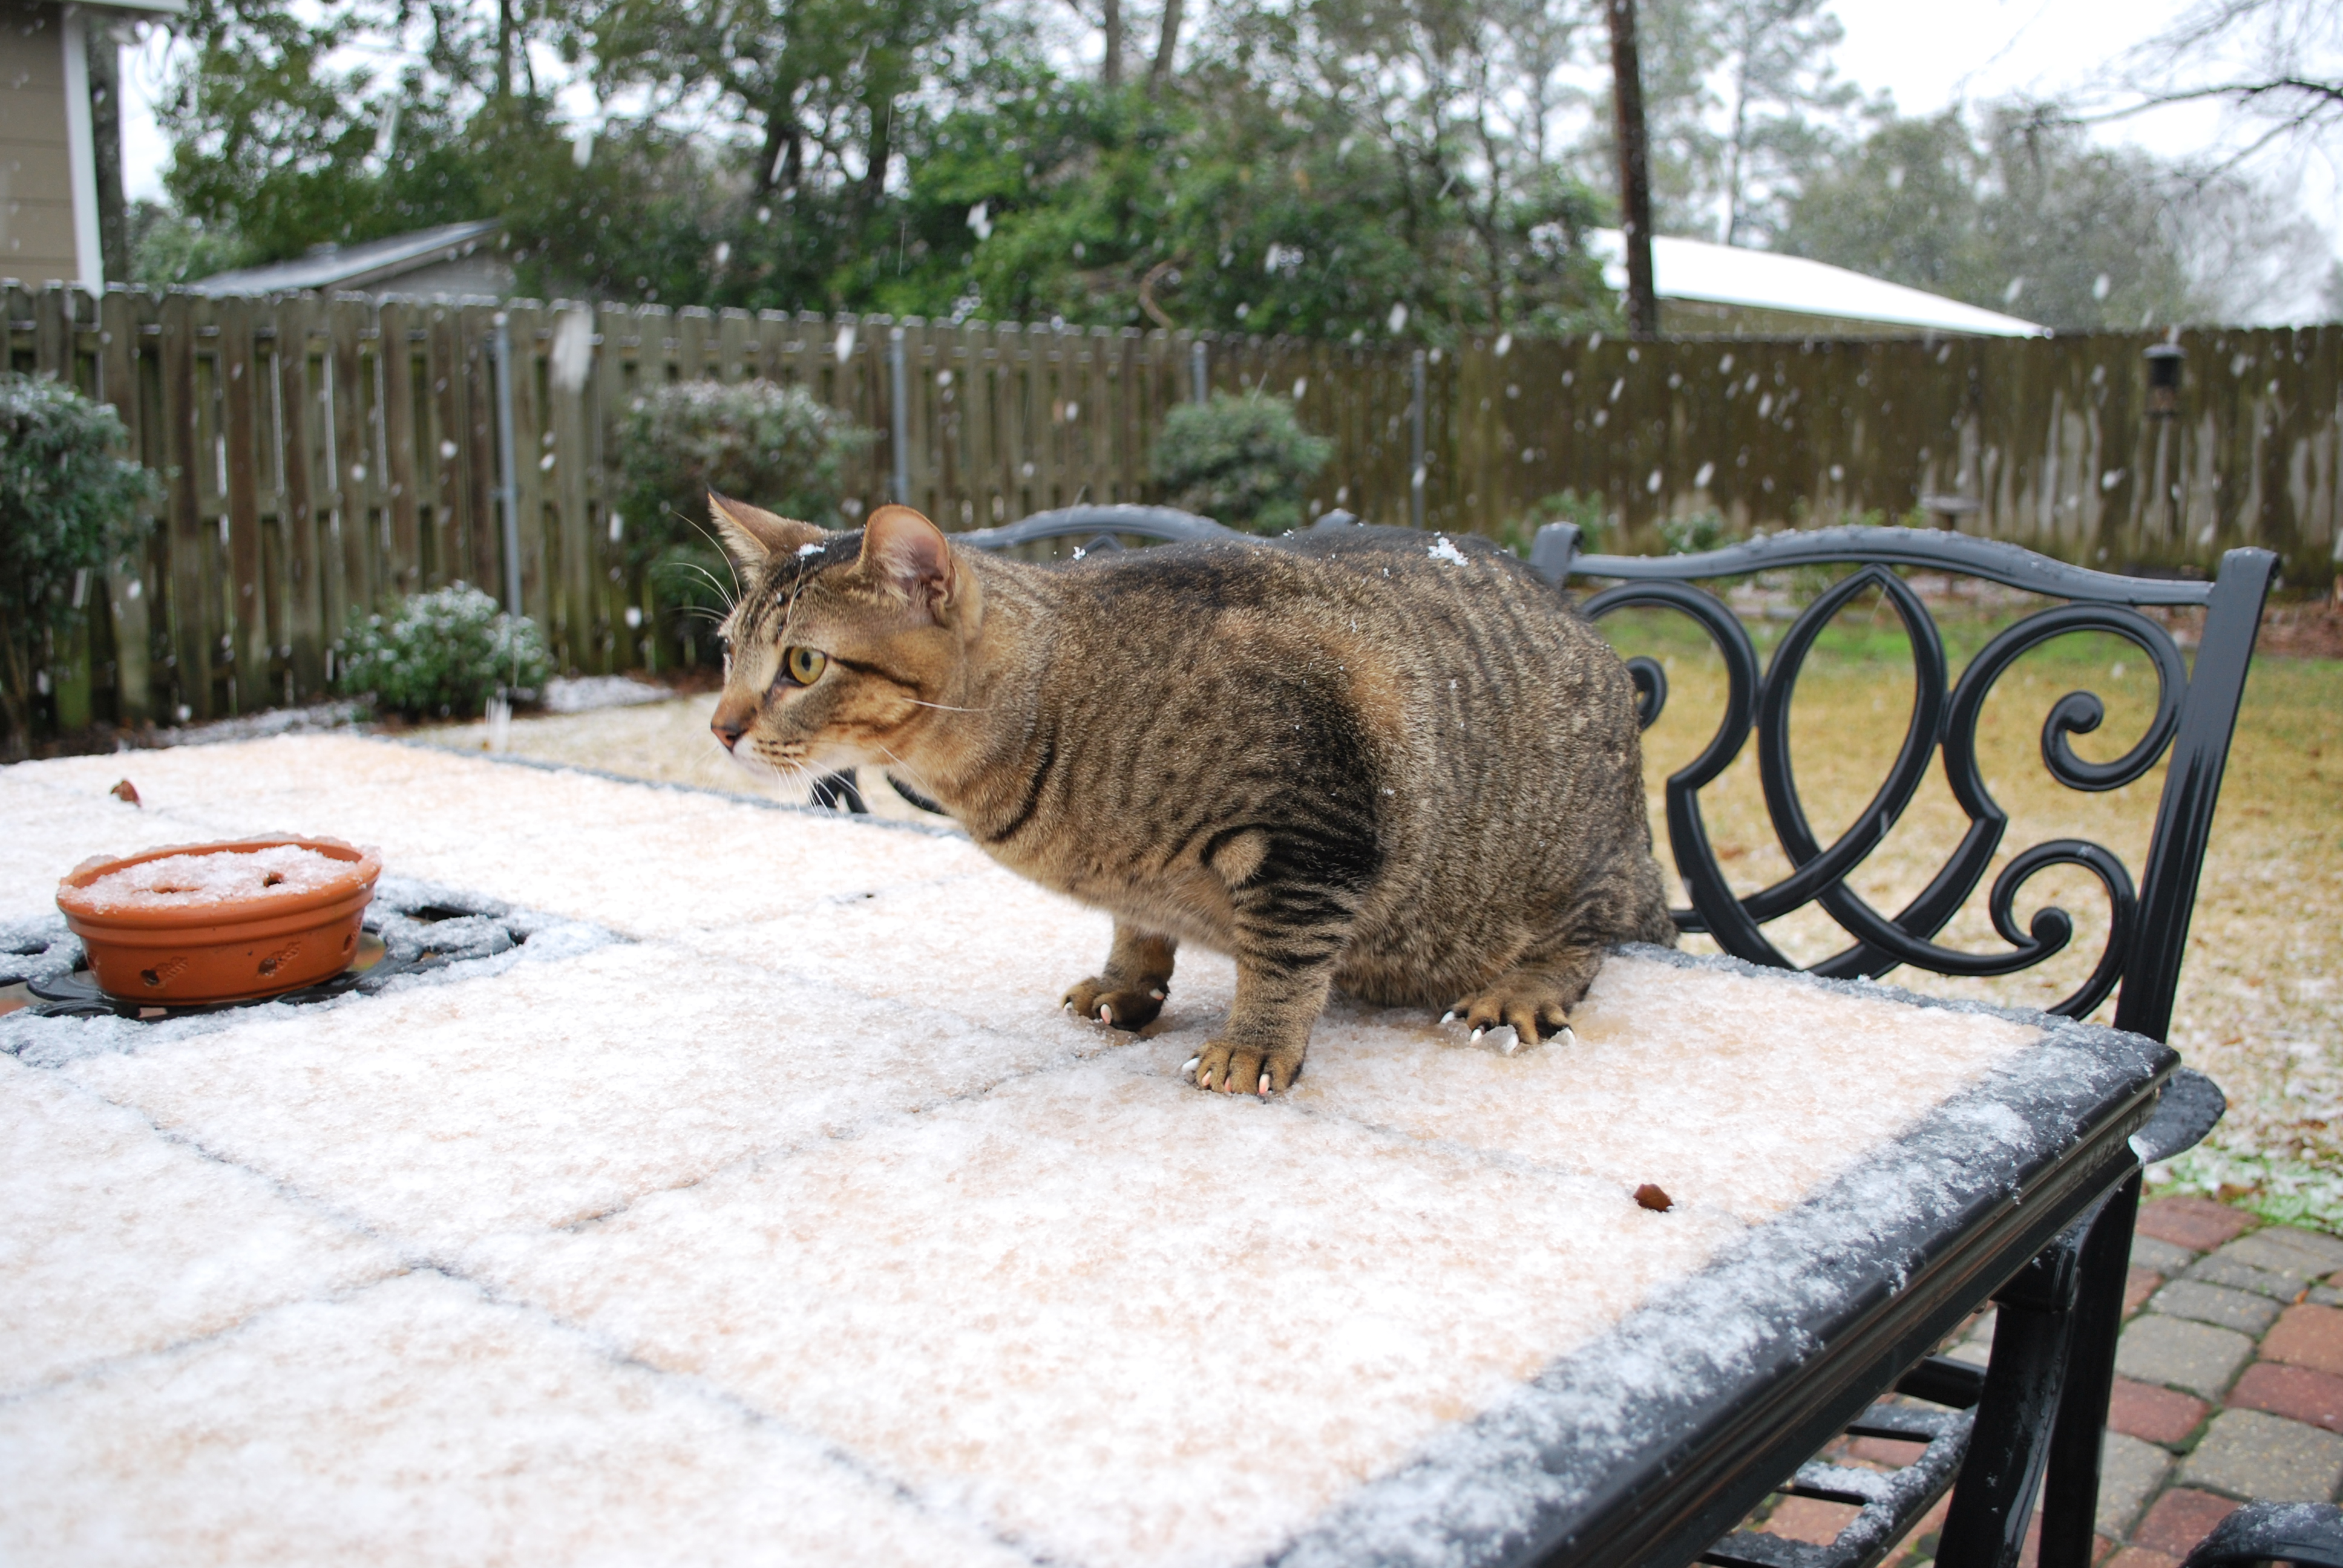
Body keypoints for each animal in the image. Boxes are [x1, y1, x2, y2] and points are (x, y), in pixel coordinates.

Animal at [707, 495, 1677, 1097]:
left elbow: (1284, 959)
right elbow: (1137, 930)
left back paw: (1520, 989)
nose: (718, 726)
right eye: (726, 651)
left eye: (803, 664)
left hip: (1569, 866)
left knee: (1594, 939)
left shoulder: (1312, 826)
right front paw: (1124, 983)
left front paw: (1253, 1047)